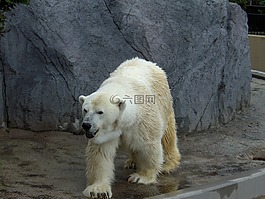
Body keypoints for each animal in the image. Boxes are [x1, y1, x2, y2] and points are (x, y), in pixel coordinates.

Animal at [79, 56, 179, 198]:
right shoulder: (106, 134)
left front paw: (140, 177)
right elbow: (100, 154)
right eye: (85, 110)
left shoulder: (143, 121)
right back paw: (131, 162)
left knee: (167, 136)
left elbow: (148, 146)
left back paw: (168, 164)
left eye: (100, 112)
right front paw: (98, 190)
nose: (86, 125)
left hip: (164, 104)